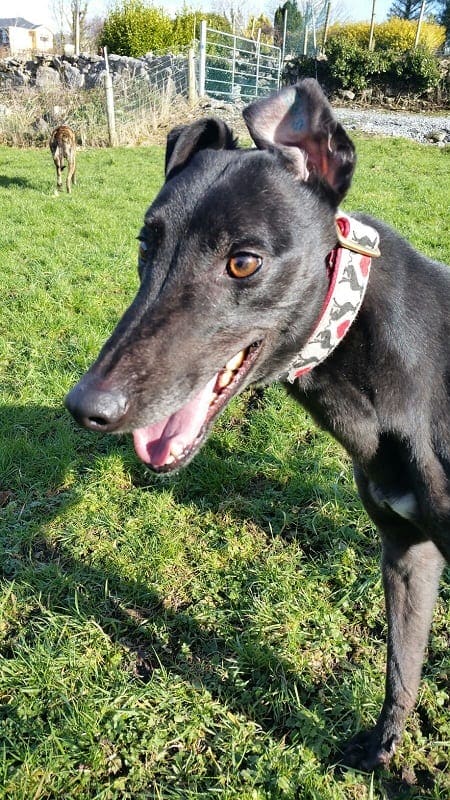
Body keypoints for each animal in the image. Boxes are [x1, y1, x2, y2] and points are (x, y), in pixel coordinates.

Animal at [65, 79, 450, 771]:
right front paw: (381, 748)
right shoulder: (409, 548)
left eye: (243, 263)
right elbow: (402, 665)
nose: (86, 408)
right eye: (145, 244)